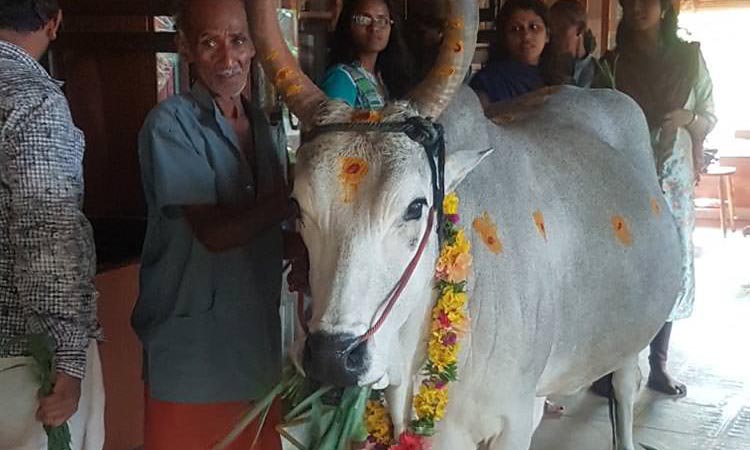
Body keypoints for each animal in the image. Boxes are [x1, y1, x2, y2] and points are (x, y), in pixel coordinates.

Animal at [250, 0, 684, 450]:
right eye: (297, 206)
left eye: (416, 206)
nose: (334, 357)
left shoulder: (514, 419)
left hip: (631, 335)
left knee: (625, 387)